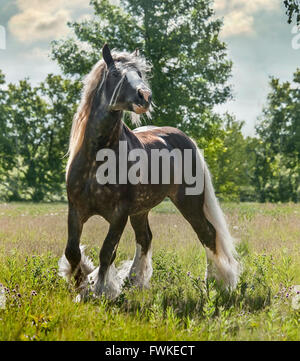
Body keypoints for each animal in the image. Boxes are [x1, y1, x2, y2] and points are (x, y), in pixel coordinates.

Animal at [58, 43, 240, 300]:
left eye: (140, 74)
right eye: (116, 73)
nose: (145, 96)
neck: (97, 157)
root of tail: (185, 138)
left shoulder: (119, 214)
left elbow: (107, 252)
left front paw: (102, 290)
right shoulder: (76, 209)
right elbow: (72, 251)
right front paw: (81, 287)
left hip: (188, 202)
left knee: (207, 234)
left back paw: (216, 284)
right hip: (141, 209)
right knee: (145, 238)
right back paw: (134, 280)